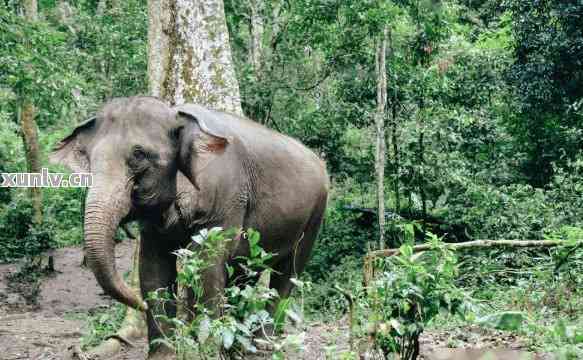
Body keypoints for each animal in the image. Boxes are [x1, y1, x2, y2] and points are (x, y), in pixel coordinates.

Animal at [51, 95, 328, 358]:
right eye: (89, 158)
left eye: (139, 154)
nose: (140, 304)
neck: (176, 113)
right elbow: (153, 268)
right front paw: (164, 354)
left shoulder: (226, 197)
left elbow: (208, 263)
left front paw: (205, 349)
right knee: (245, 271)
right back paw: (240, 348)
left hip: (316, 214)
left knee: (288, 272)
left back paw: (264, 346)